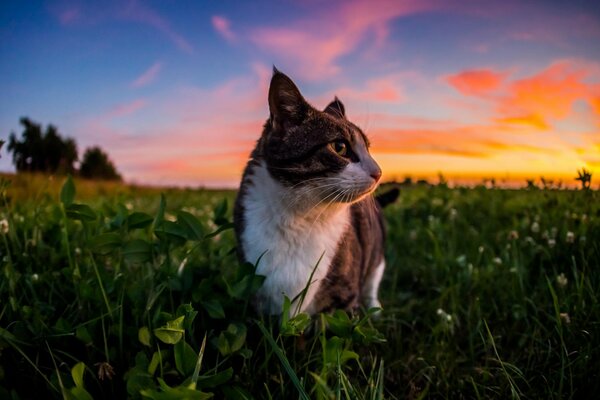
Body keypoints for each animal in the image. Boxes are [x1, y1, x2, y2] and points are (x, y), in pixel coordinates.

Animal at [232, 69, 396, 316]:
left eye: (368, 149)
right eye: (340, 147)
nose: (379, 172)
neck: (299, 218)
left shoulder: (343, 300)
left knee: (372, 281)